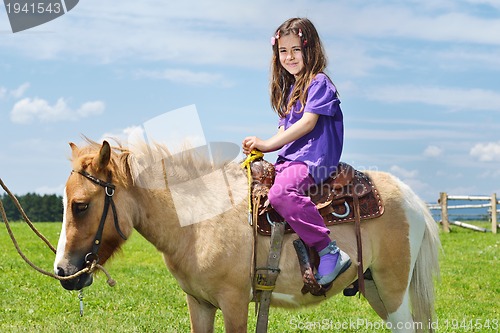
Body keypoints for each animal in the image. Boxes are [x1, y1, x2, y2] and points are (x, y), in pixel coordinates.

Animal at [52, 139, 440, 330]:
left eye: (81, 205)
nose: (63, 272)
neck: (199, 221)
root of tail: (412, 198)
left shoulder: (235, 302)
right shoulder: (200, 304)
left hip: (393, 292)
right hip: (375, 289)